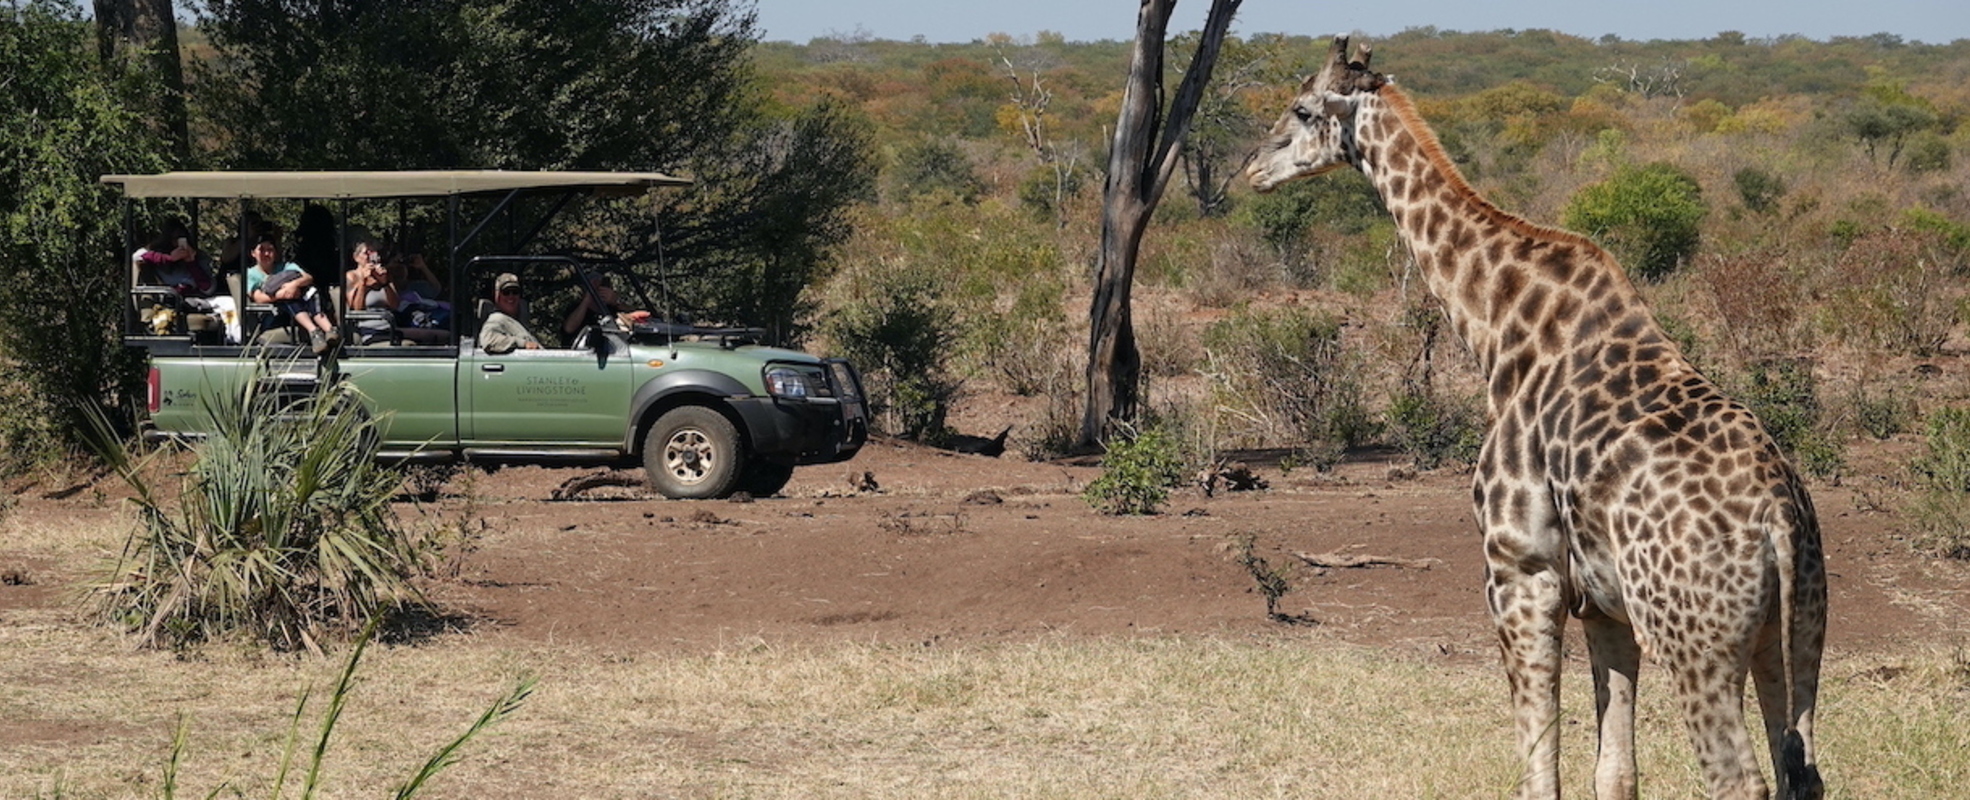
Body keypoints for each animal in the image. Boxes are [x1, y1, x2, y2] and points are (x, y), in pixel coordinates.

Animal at [1246, 37, 1826, 800]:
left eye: (1303, 108)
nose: (1253, 168)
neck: (1500, 332)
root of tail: (1779, 516)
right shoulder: (1603, 604)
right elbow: (1614, 772)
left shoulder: (1520, 567)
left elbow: (1539, 763)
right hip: (1798, 630)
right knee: (1802, 770)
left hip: (1693, 638)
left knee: (1739, 780)